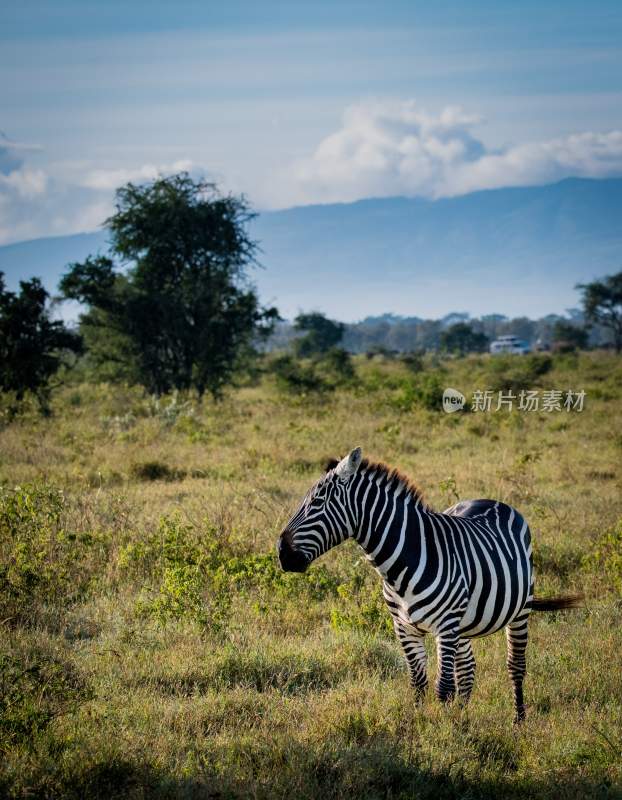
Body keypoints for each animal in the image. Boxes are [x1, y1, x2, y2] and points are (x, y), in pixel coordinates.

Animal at [280, 446, 584, 720]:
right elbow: (418, 683)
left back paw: (518, 720)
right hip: (464, 623)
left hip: (519, 611)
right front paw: (421, 728)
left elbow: (443, 688)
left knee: (515, 665)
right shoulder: (404, 627)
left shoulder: (445, 626)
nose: (281, 553)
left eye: (317, 502)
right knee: (467, 669)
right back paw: (463, 718)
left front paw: (443, 735)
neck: (402, 563)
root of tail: (493, 501)